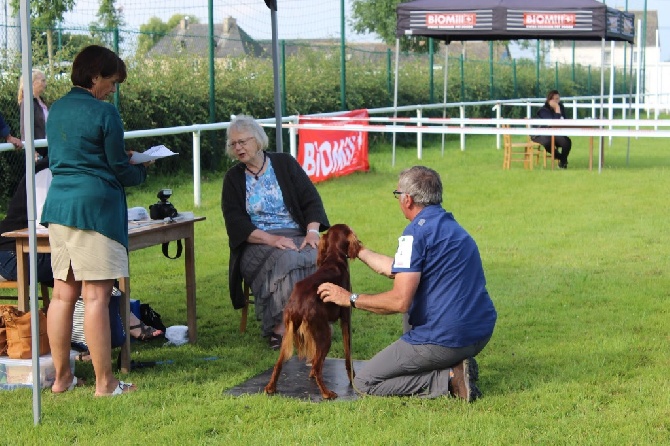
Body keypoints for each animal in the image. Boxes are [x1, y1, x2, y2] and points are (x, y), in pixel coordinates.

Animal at [266, 225, 364, 398]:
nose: (360, 242)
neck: (334, 259)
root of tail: (297, 305)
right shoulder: (346, 319)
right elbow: (347, 355)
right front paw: (352, 378)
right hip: (325, 334)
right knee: (318, 367)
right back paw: (327, 393)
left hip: (289, 334)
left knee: (278, 364)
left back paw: (270, 387)